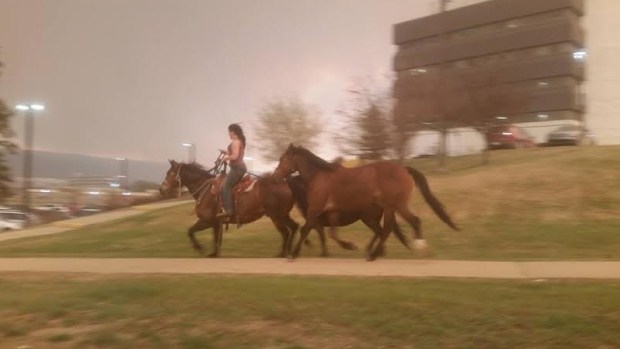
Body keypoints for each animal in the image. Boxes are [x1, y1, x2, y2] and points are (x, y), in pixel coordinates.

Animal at [161, 160, 300, 256]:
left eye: (170, 173)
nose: (161, 189)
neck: (206, 191)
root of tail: (286, 183)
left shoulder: (207, 221)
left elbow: (190, 231)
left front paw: (200, 249)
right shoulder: (216, 223)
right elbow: (215, 239)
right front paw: (213, 254)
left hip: (276, 216)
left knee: (286, 232)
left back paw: (282, 253)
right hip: (283, 215)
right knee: (293, 227)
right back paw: (289, 251)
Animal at [272, 143, 460, 260]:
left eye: (283, 159)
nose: (274, 177)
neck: (320, 176)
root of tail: (403, 169)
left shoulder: (315, 209)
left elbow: (305, 230)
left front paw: (292, 255)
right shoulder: (331, 211)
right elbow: (331, 233)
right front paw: (349, 245)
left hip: (396, 205)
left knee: (409, 222)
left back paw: (415, 248)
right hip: (388, 209)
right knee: (386, 229)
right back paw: (374, 253)